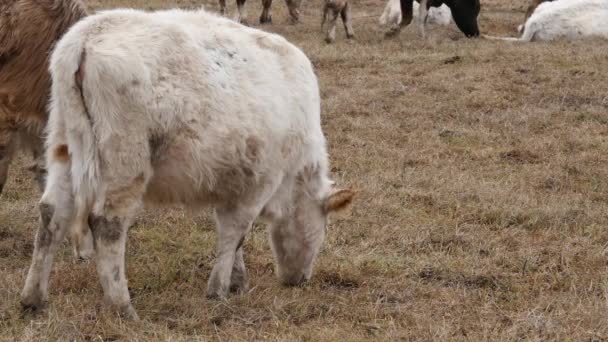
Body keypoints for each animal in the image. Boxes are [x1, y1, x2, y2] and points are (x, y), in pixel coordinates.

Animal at [20, 6, 356, 320]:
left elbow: (232, 236)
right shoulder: (260, 183)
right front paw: (218, 290)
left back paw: (33, 299)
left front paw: (237, 280)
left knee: (52, 213)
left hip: (63, 145)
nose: (299, 280)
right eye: (321, 228)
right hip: (124, 162)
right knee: (107, 224)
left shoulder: (233, 183)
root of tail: (87, 36)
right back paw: (122, 306)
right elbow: (235, 233)